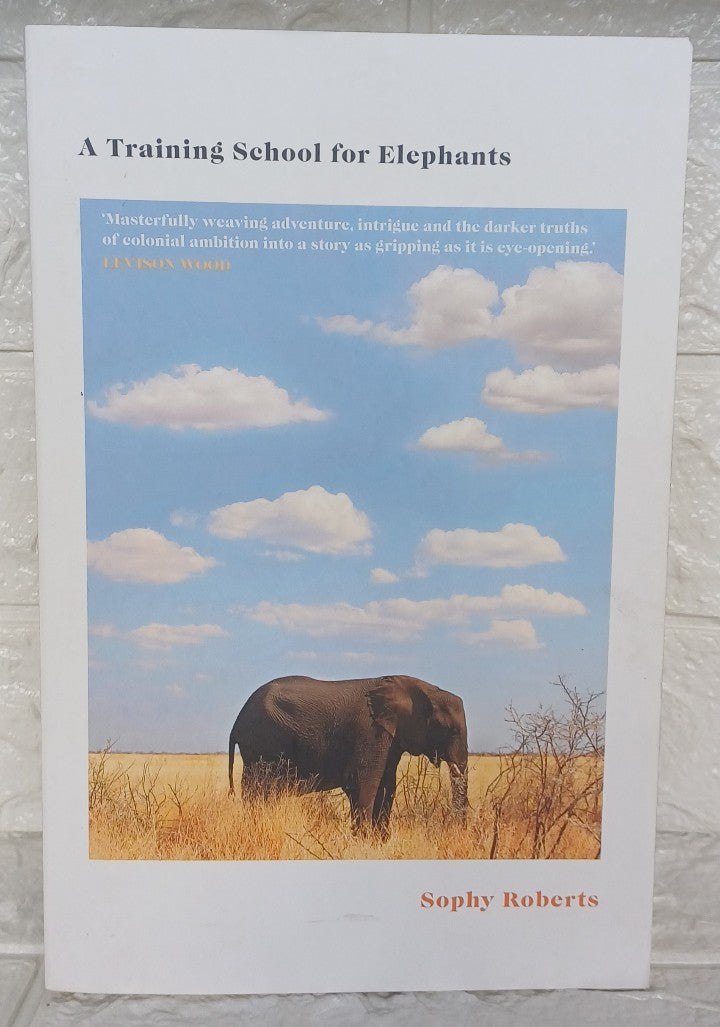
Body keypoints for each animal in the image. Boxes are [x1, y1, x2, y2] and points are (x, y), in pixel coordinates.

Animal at [228, 674, 468, 836]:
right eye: (450, 730)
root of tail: (237, 722)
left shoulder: (390, 738)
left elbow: (386, 785)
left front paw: (379, 841)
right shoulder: (370, 732)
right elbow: (363, 783)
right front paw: (363, 839)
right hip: (264, 741)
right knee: (259, 790)